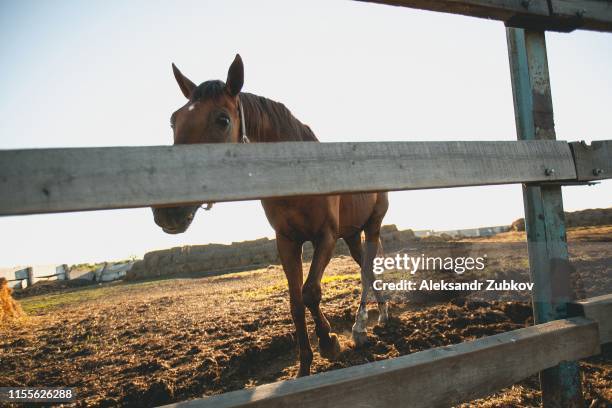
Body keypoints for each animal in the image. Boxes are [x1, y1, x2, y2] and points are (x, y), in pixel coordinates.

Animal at [152, 55, 388, 378]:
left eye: (222, 120)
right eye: (174, 120)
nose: (167, 211)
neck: (297, 174)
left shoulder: (325, 237)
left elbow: (310, 292)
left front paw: (329, 342)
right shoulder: (287, 242)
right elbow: (295, 302)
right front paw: (304, 367)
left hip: (371, 227)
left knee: (367, 271)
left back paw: (369, 324)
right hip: (352, 235)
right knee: (367, 269)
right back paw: (372, 321)